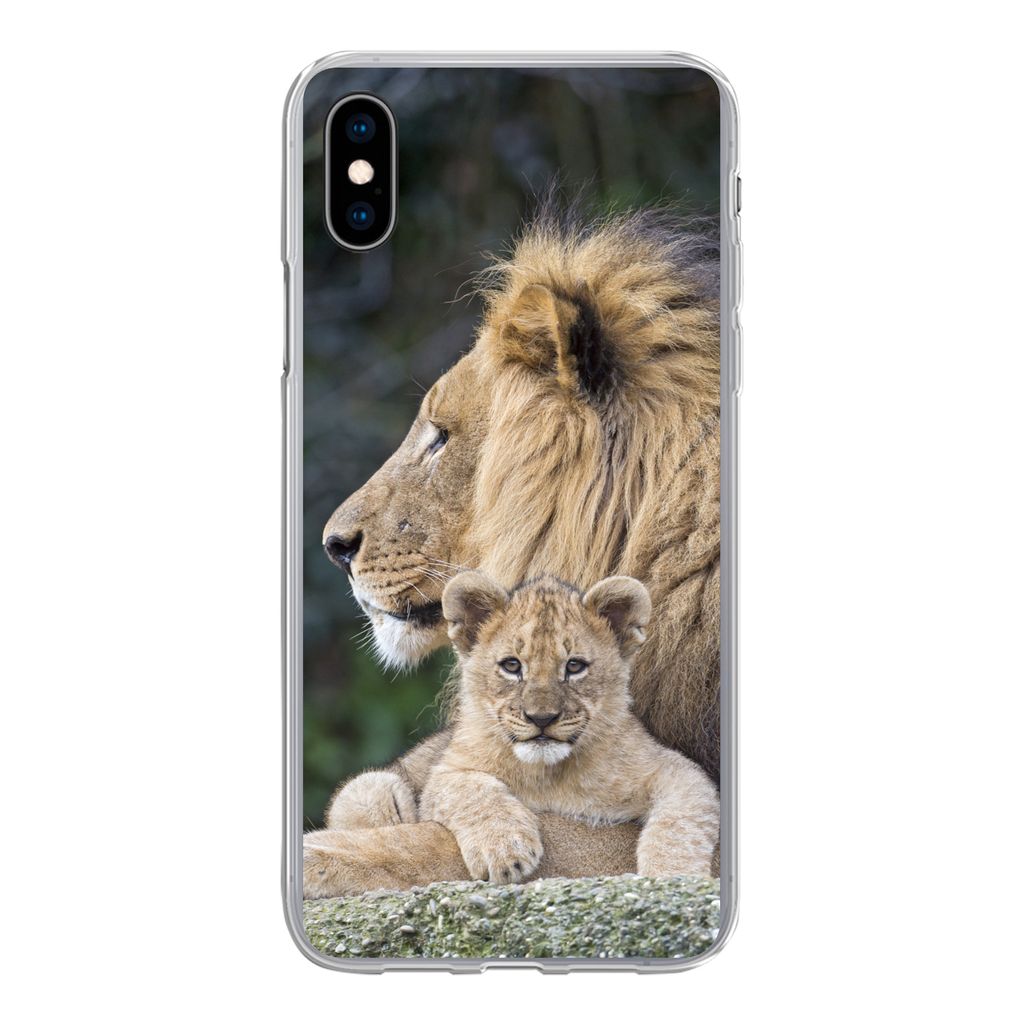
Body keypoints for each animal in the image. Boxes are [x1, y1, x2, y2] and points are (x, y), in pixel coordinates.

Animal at [418, 572, 719, 884]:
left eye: (574, 666)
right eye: (511, 665)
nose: (541, 718)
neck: (548, 777)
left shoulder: (676, 770)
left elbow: (679, 825)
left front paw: (673, 877)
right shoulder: (446, 772)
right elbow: (469, 788)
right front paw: (505, 849)